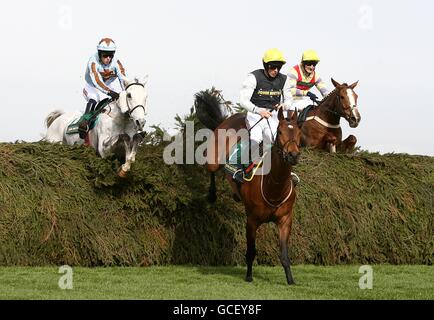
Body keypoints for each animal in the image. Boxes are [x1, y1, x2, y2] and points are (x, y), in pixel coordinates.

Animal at [195, 90, 300, 284]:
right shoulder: (251, 221)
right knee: (211, 170)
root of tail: (229, 119)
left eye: (299, 131)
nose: (293, 155)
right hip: (213, 160)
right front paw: (249, 276)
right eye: (280, 131)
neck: (274, 188)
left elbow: (284, 255)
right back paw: (212, 194)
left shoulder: (285, 221)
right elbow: (251, 251)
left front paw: (290, 279)